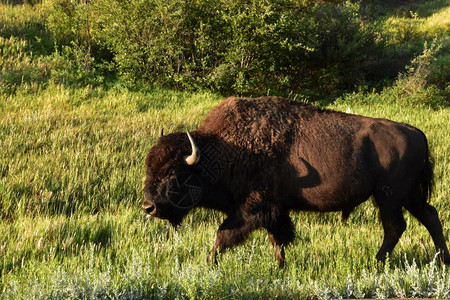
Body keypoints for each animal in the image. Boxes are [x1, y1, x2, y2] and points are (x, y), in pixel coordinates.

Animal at [142, 96, 450, 268]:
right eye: (149, 167)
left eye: (173, 173)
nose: (148, 207)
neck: (220, 150)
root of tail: (416, 132)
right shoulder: (275, 210)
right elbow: (277, 239)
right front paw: (280, 268)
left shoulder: (254, 207)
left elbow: (223, 235)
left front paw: (209, 265)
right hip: (407, 196)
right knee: (429, 217)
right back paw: (442, 260)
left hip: (390, 196)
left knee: (396, 226)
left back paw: (376, 262)